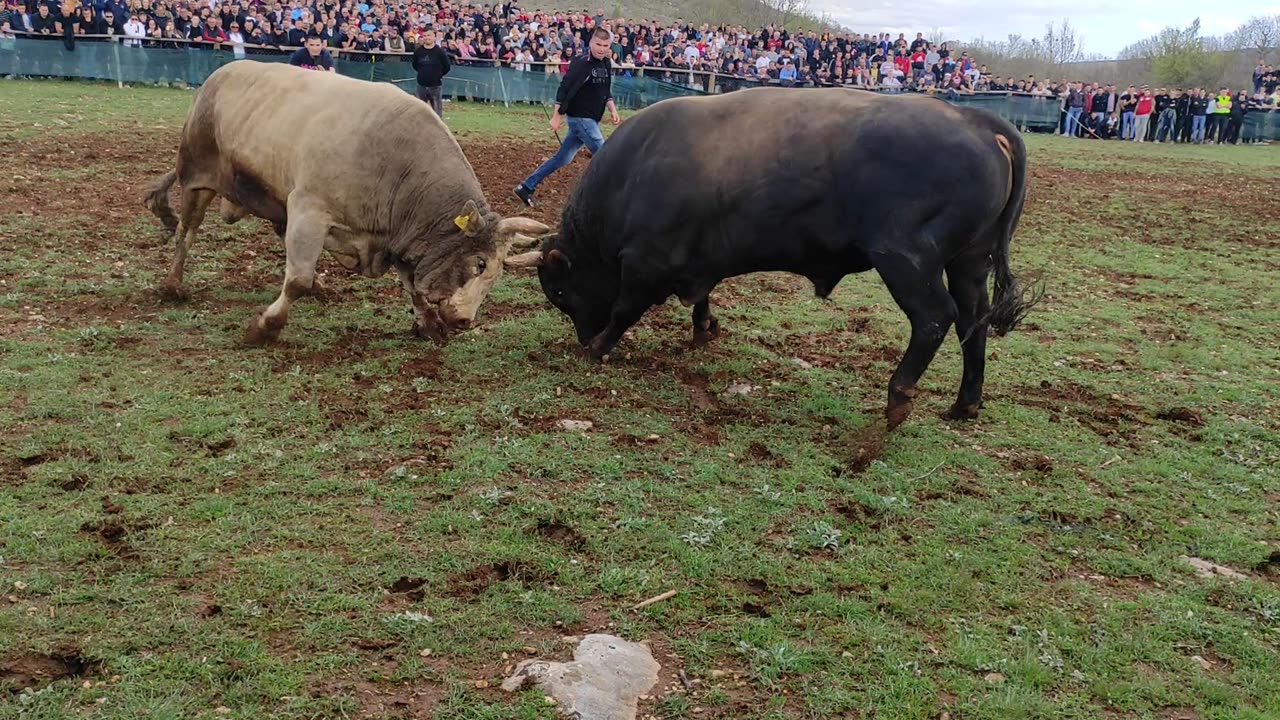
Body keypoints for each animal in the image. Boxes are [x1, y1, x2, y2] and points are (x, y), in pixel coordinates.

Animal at [504, 87, 1044, 427]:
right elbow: (701, 298)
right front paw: (704, 329)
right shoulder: (696, 263)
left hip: (907, 259)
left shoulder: (643, 263)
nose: (582, 337)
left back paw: (898, 397)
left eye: (559, 292)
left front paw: (599, 347)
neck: (635, 173)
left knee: (934, 318)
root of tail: (978, 120)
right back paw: (964, 405)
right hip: (969, 262)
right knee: (972, 322)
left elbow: (623, 309)